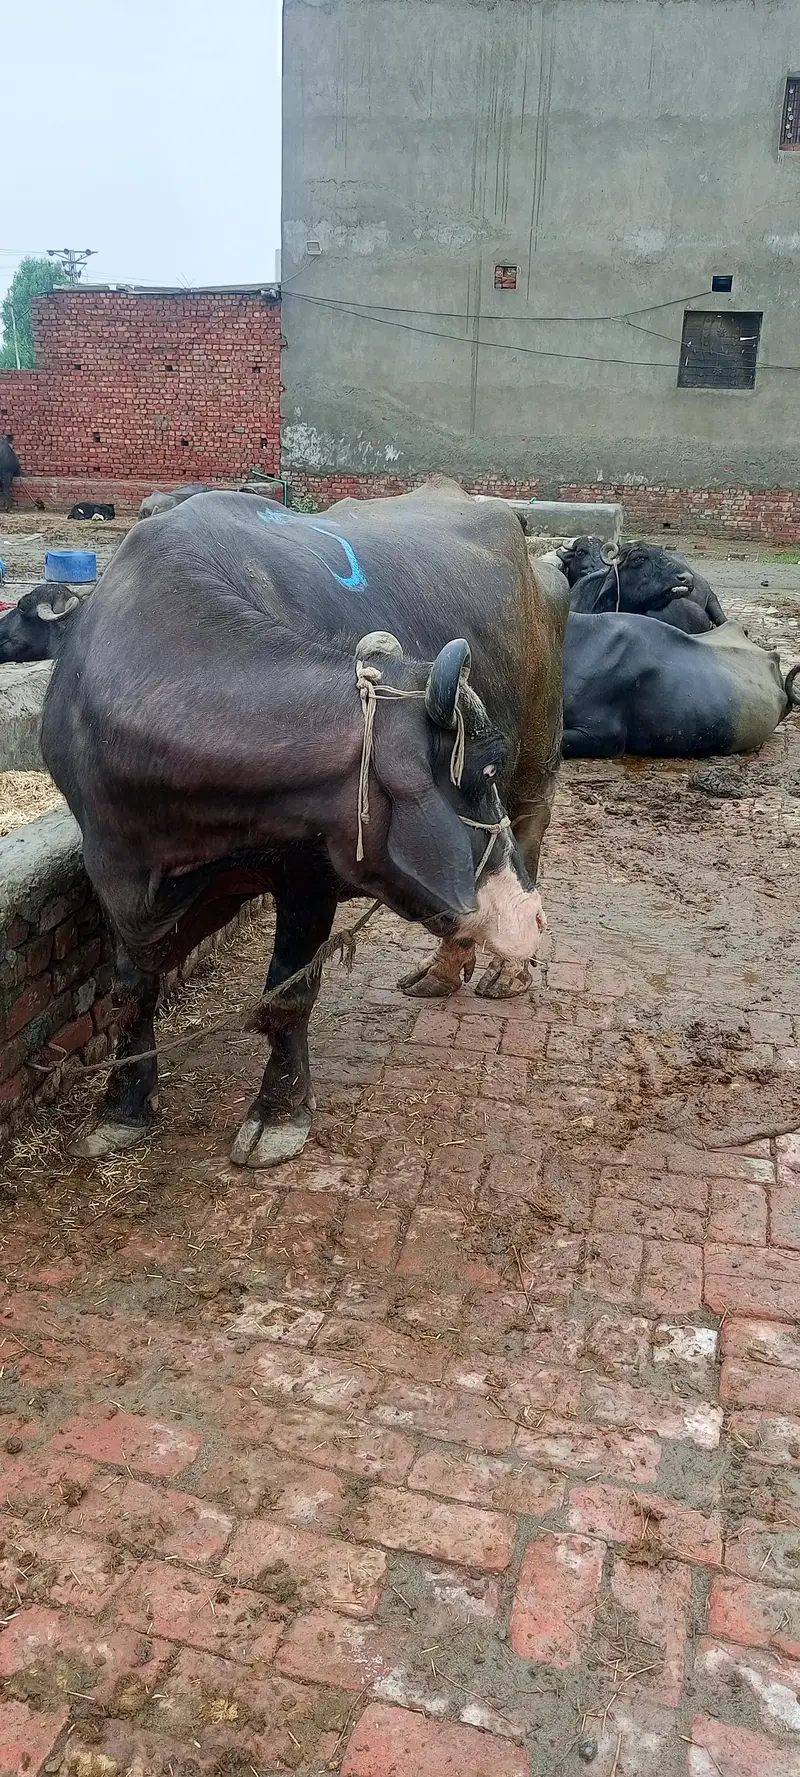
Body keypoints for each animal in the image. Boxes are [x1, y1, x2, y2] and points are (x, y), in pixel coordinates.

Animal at [42, 481, 566, 1165]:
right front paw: (122, 1106)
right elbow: (132, 990)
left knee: (531, 832)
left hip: (540, 760)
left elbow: (286, 996)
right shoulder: (110, 862)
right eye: (482, 767)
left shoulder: (310, 871)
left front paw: (279, 1112)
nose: (535, 919)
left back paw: (506, 970)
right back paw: (443, 971)